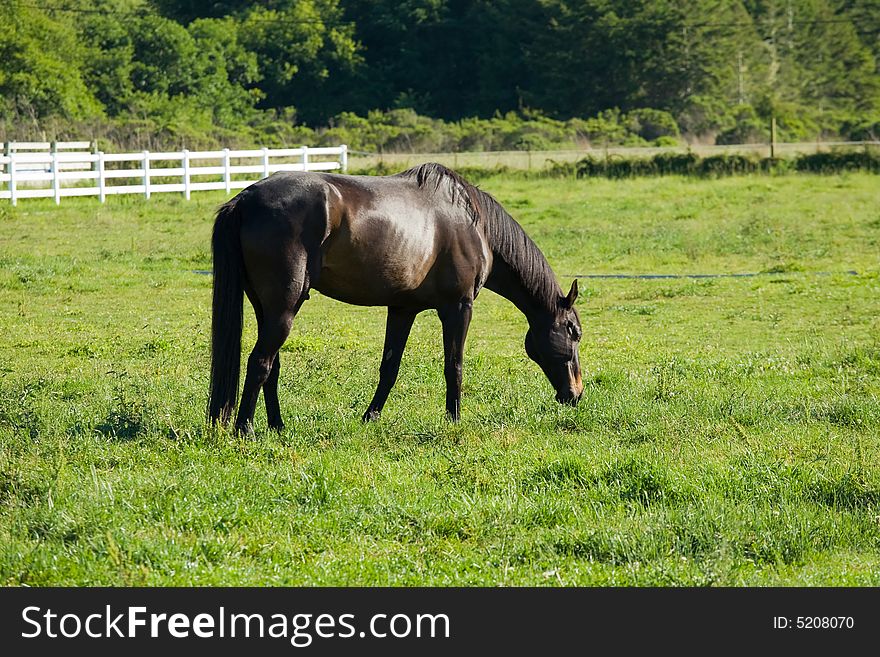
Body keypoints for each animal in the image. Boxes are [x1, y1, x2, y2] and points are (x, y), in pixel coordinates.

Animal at [208, 163, 584, 434]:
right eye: (573, 332)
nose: (576, 393)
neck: (474, 223)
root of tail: (245, 200)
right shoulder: (458, 307)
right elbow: (454, 365)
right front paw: (454, 420)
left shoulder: (403, 309)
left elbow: (389, 367)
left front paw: (370, 417)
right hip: (284, 309)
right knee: (260, 362)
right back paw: (245, 428)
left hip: (266, 308)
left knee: (272, 364)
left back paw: (277, 425)